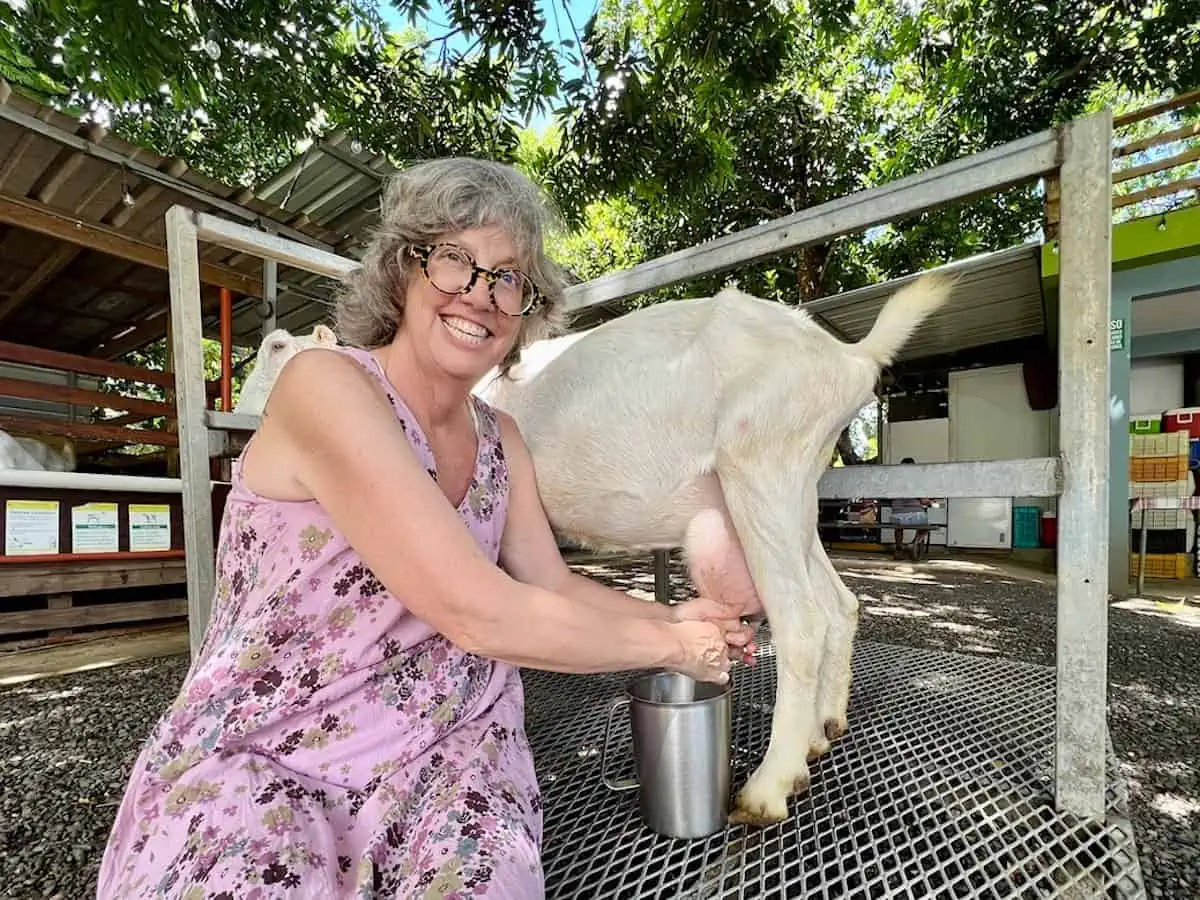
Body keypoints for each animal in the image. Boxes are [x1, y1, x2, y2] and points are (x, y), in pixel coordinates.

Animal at [477, 277, 955, 830]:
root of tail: (850, 357)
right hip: (799, 495)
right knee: (839, 605)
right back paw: (820, 736)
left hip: (760, 464)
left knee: (803, 624)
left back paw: (767, 790)